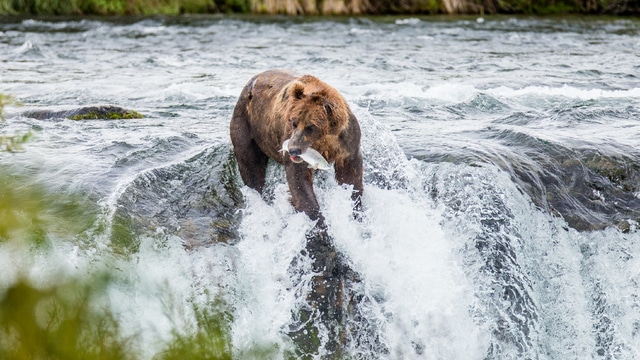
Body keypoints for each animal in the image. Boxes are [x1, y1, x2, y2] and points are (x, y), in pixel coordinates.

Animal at [230, 69, 362, 224]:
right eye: (294, 122)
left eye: (311, 127)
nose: (293, 149)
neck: (326, 141)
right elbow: (299, 182)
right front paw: (318, 224)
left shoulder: (347, 144)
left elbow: (350, 177)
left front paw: (356, 208)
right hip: (246, 127)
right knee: (251, 167)